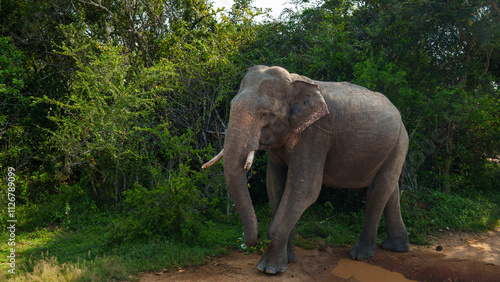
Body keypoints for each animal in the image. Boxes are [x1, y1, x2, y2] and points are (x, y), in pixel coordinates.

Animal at [201, 65, 408, 274]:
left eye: (265, 114)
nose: (255, 239)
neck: (295, 83)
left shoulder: (315, 134)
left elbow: (305, 190)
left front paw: (268, 269)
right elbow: (275, 185)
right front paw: (288, 260)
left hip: (399, 143)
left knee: (377, 193)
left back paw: (360, 255)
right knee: (388, 192)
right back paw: (395, 247)